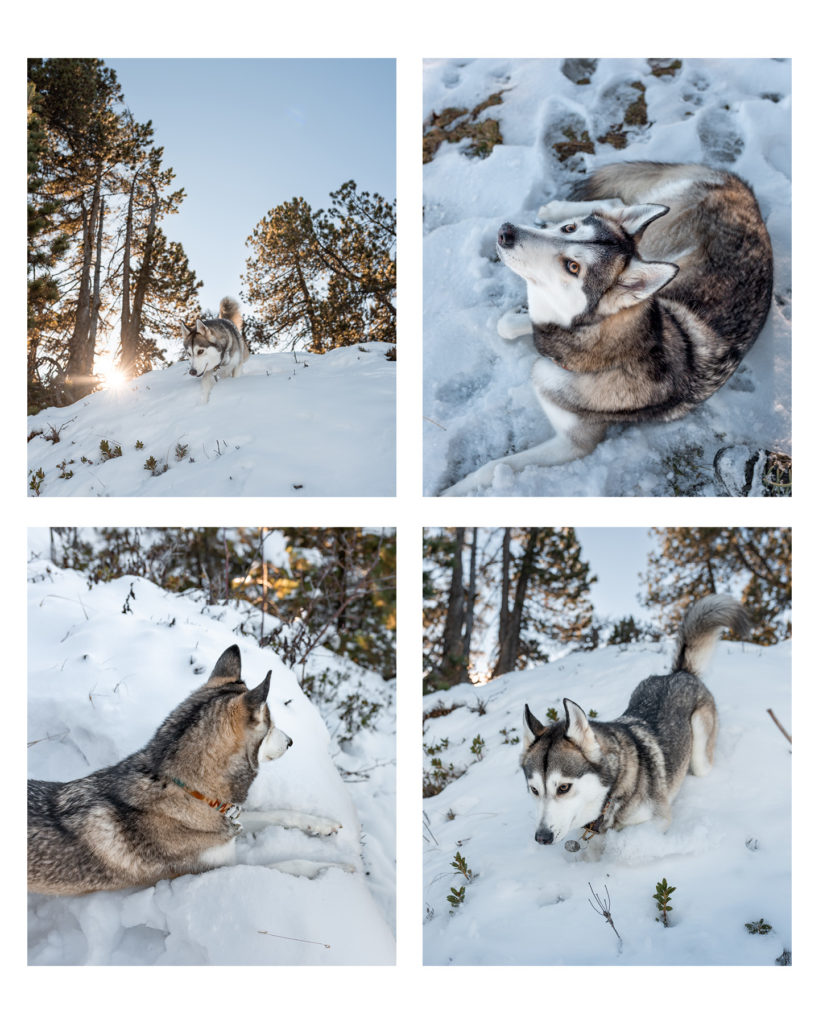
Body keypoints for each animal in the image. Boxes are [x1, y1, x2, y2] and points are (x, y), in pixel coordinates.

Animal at [28, 647, 348, 897]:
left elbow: (276, 813)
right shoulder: (212, 870)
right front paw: (335, 868)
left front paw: (321, 824)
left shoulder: (223, 824)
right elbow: (288, 864)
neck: (183, 787)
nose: (291, 741)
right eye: (270, 726)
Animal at [444, 161, 769, 493]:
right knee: (616, 205)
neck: (602, 358)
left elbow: (498, 466)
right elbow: (508, 324)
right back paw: (556, 208)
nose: (506, 232)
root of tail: (744, 192)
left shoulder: (575, 444)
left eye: (573, 267)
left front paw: (456, 491)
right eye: (570, 229)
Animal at [524, 598, 749, 843]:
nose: (542, 837)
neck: (614, 788)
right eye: (534, 790)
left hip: (700, 751)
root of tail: (680, 672)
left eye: (563, 788)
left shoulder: (657, 821)